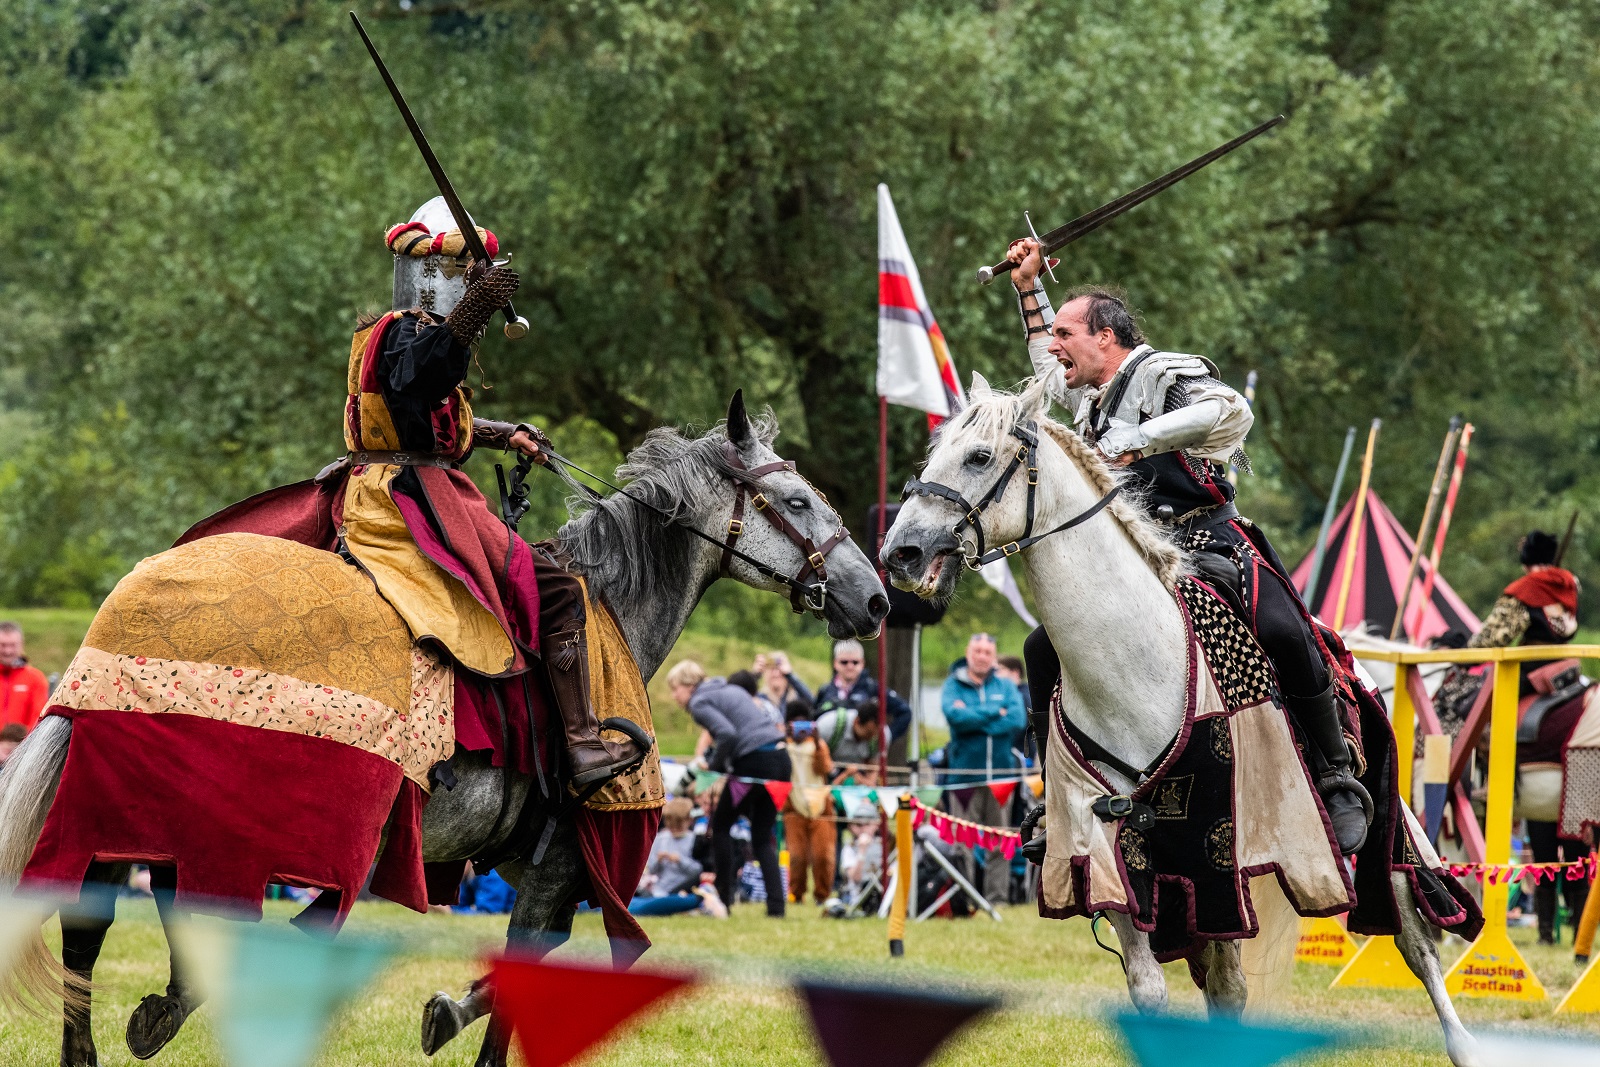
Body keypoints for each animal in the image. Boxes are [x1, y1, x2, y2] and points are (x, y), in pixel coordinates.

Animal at [883, 379, 1478, 1062]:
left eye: (979, 457)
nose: (901, 552)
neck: (1136, 661)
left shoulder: (1219, 859)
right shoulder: (1116, 855)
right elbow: (1155, 988)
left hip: (1389, 838)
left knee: (1416, 938)